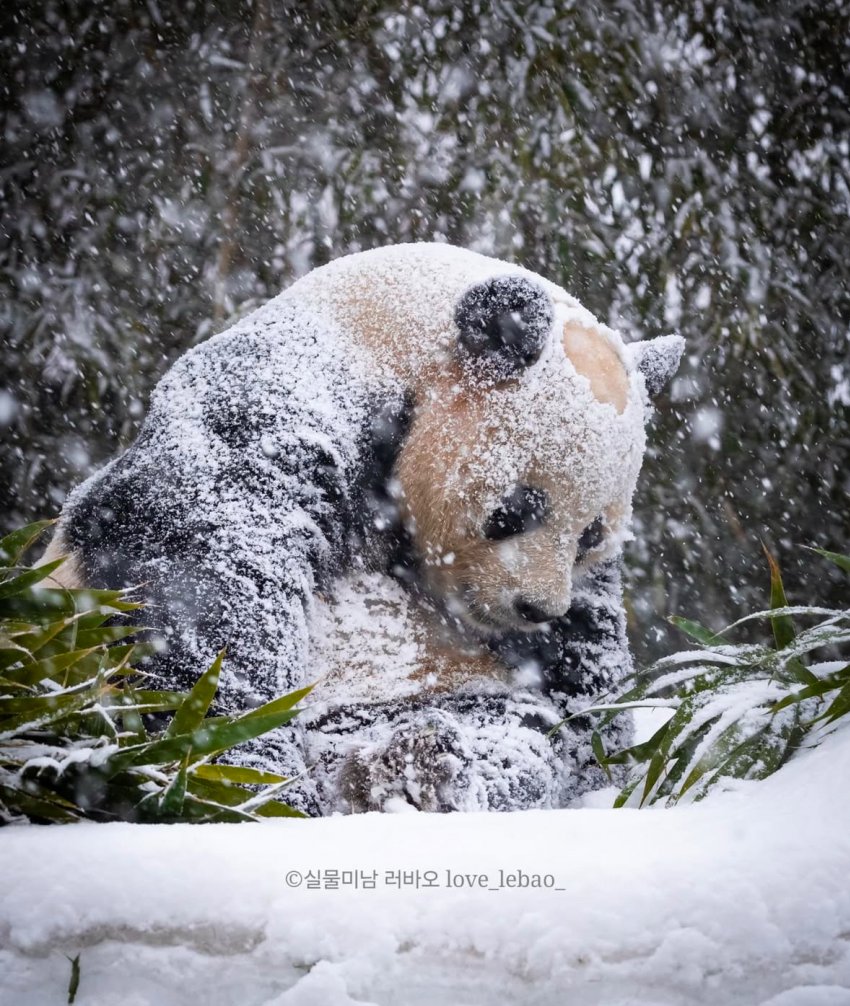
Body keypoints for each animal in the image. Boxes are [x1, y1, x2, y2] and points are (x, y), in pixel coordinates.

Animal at [43, 245, 688, 816]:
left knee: (506, 734)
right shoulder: (280, 406)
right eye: (513, 513)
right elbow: (208, 576)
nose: (534, 608)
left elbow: (587, 673)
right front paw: (253, 779)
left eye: (591, 537)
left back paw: (419, 768)